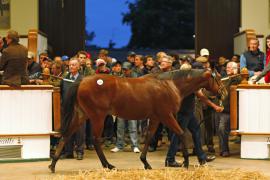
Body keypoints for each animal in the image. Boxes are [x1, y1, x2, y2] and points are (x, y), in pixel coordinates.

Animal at [48, 68, 226, 172]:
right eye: (217, 78)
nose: (223, 93)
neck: (170, 84)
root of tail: (82, 80)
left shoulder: (155, 118)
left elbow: (148, 138)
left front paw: (146, 163)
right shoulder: (166, 115)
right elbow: (181, 133)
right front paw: (186, 163)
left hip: (82, 115)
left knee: (66, 135)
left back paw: (53, 164)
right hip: (97, 116)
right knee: (95, 139)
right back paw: (108, 165)